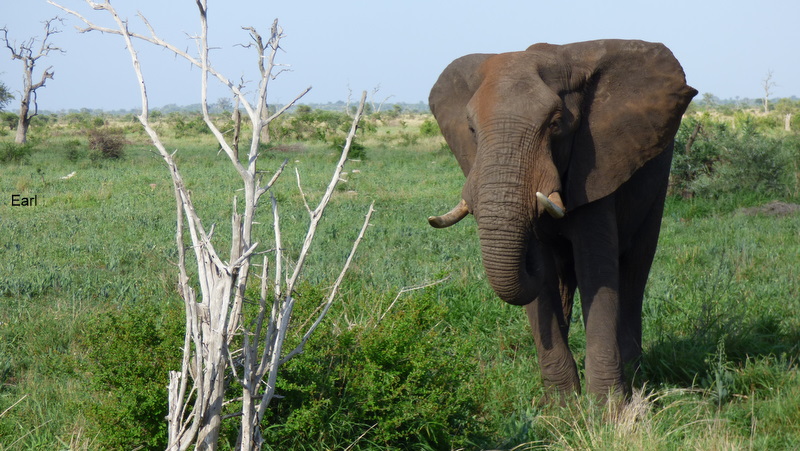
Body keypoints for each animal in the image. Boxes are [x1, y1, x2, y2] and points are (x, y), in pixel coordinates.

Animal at [427, 40, 696, 400]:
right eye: (471, 129)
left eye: (555, 124)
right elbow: (543, 291)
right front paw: (562, 407)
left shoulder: (596, 165)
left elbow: (597, 270)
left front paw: (607, 409)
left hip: (656, 185)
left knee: (634, 271)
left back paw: (635, 380)